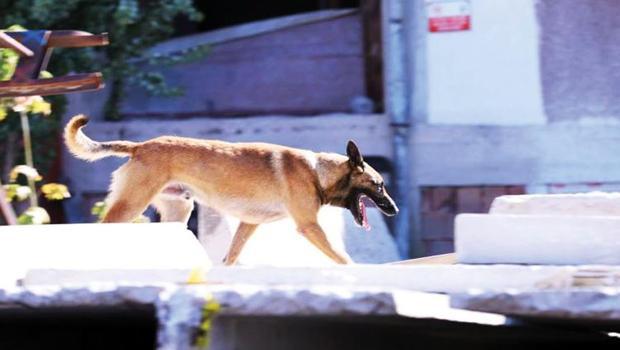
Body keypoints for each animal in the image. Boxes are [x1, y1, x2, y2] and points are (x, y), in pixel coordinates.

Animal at [65, 115, 400, 266]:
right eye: (379, 185)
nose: (395, 210)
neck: (317, 170)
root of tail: (140, 147)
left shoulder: (248, 224)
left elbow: (230, 257)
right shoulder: (309, 226)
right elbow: (342, 257)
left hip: (178, 213)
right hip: (131, 205)